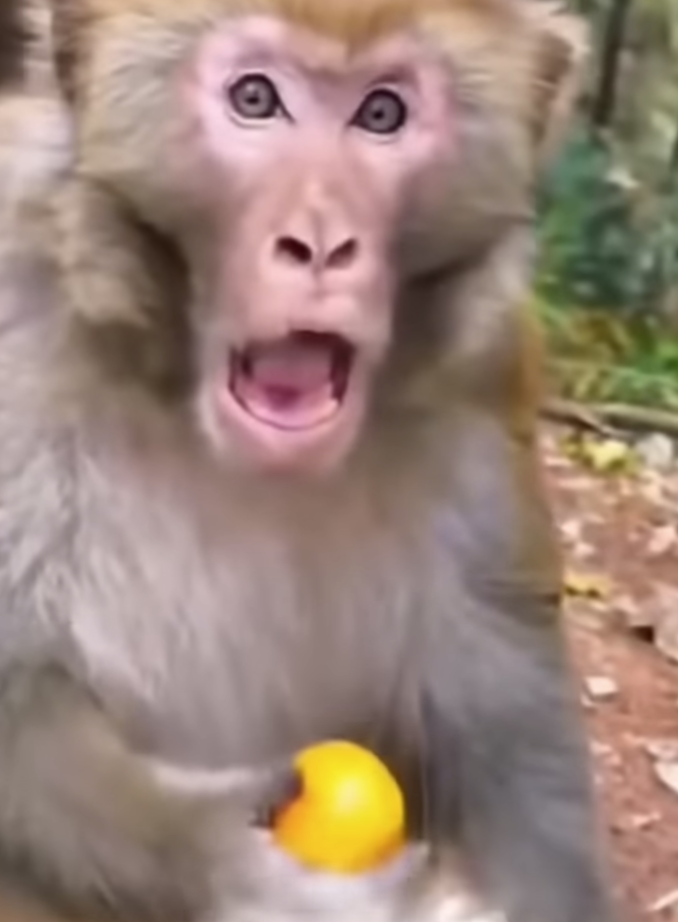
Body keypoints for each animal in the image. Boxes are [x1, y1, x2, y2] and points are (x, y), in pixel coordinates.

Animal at [0, 1, 618, 922]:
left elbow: (512, 738)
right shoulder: (18, 320)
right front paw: (229, 864)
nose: (321, 244)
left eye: (382, 113)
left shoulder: (482, 390)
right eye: (255, 98)